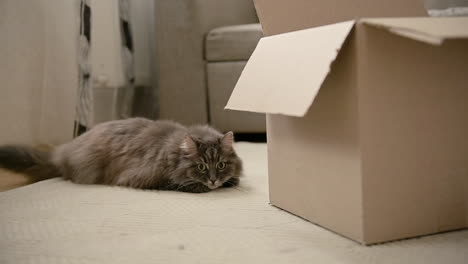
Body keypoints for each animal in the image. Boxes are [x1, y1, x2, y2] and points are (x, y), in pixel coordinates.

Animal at [0, 118, 241, 193]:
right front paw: (205, 186)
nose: (213, 180)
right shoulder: (146, 177)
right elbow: (184, 184)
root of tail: (63, 151)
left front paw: (230, 180)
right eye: (201, 167)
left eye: (221, 165)